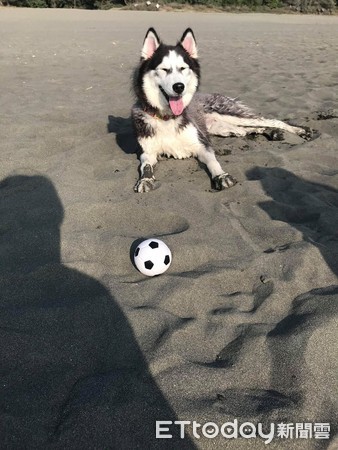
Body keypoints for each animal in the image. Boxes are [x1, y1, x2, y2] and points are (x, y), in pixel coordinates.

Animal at [133, 27, 308, 193]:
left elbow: (213, 161)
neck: (167, 118)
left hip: (230, 113)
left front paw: (221, 176)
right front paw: (145, 180)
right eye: (164, 69)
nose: (179, 87)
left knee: (271, 121)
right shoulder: (147, 153)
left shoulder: (202, 145)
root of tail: (215, 94)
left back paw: (300, 131)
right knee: (246, 130)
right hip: (223, 128)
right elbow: (145, 165)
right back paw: (272, 133)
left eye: (183, 68)